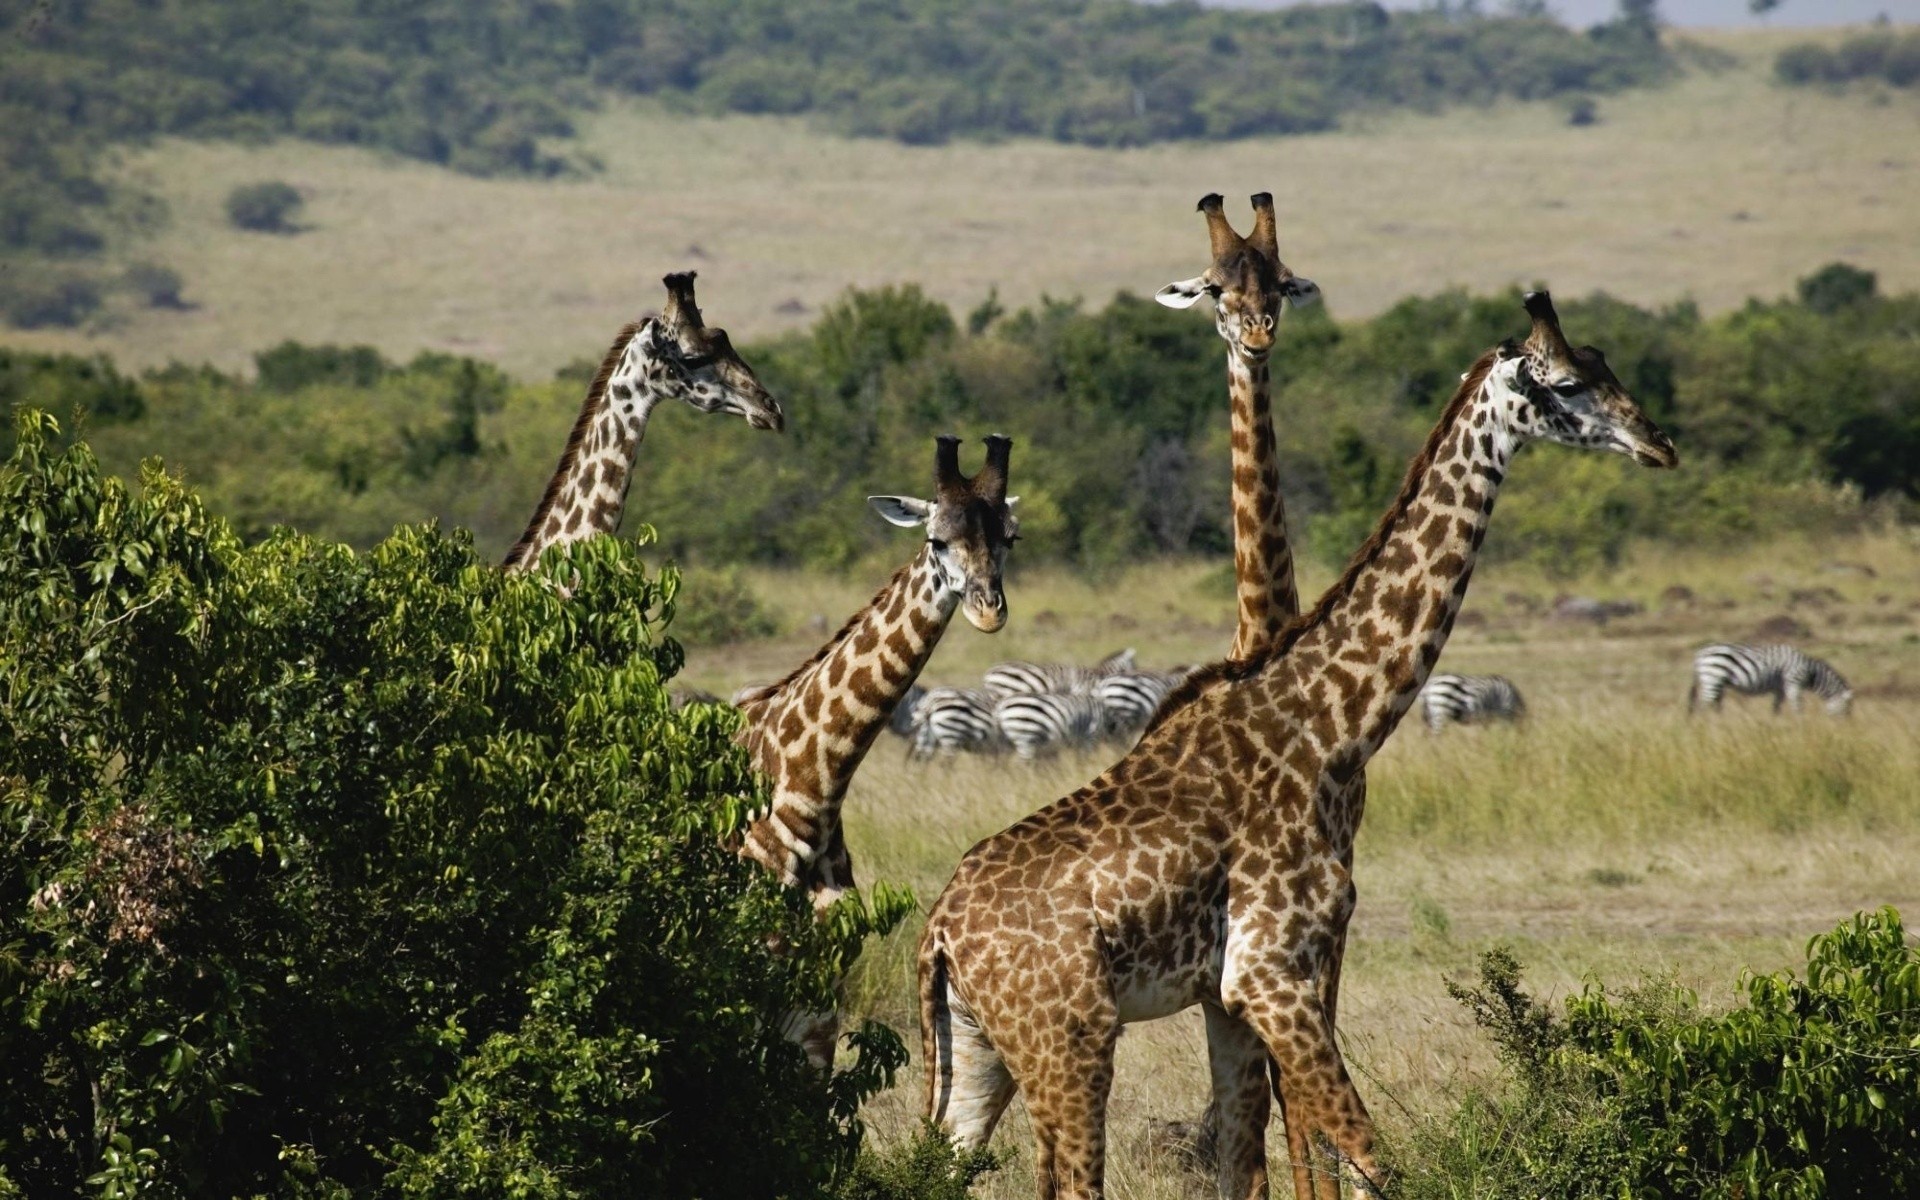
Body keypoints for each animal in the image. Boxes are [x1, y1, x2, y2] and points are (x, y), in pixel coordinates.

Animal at [1689, 641, 1850, 714]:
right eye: (1847, 711)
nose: (1844, 728)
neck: (1811, 673)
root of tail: (1699, 654)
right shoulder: (1793, 684)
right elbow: (1797, 707)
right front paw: (1800, 726)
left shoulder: (1779, 689)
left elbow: (1776, 707)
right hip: (1712, 678)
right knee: (1704, 706)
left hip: (1716, 683)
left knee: (1715, 706)